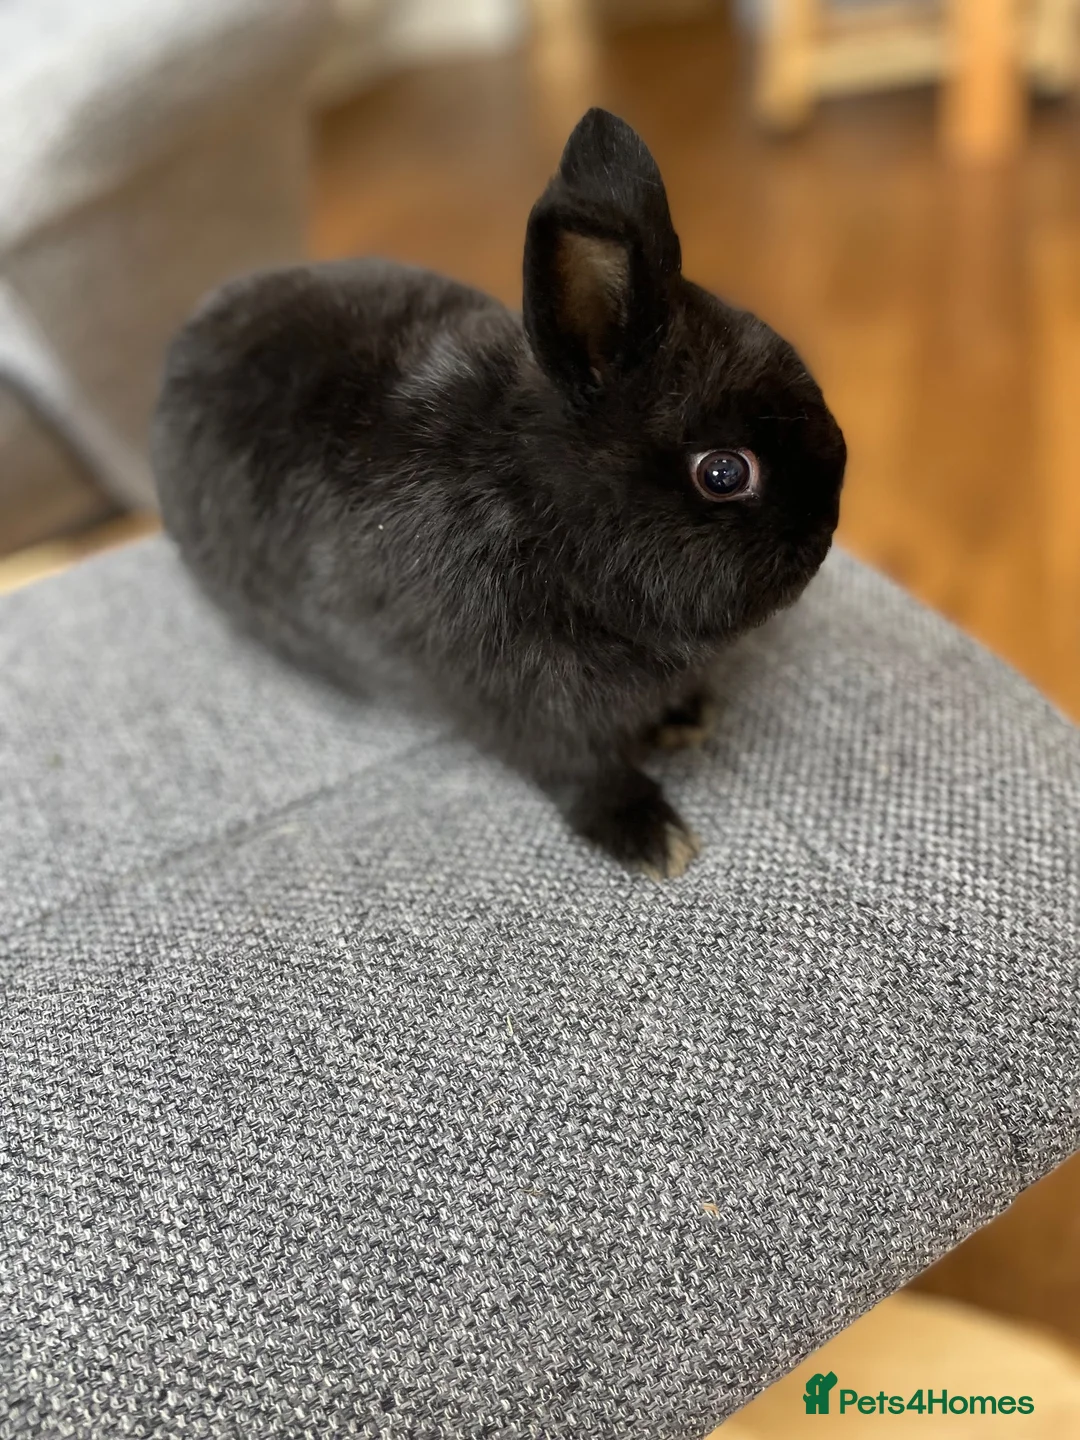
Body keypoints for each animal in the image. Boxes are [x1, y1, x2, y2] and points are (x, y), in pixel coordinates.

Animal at [152, 107, 846, 880]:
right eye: (724, 473)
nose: (825, 526)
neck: (531, 508)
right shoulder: (519, 708)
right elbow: (580, 772)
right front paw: (651, 837)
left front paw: (685, 718)